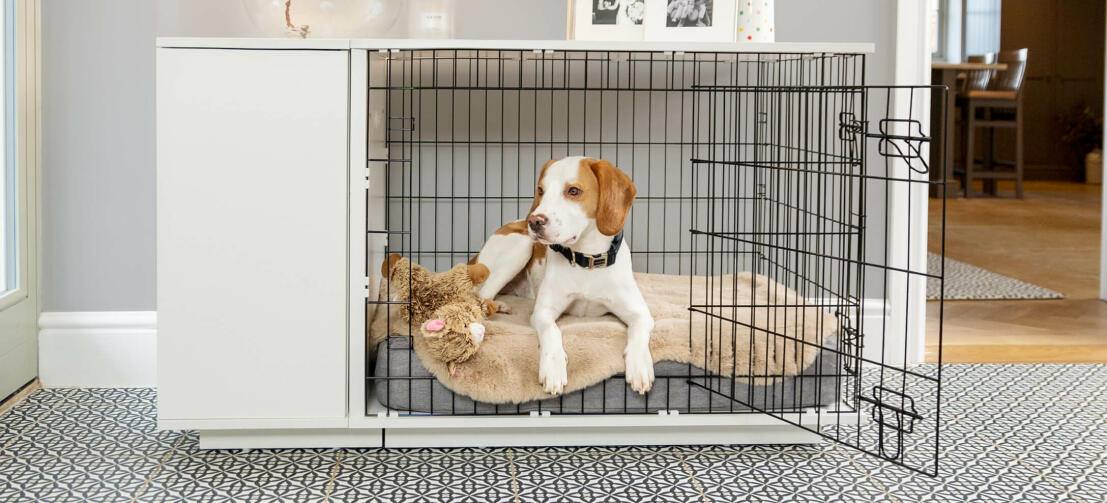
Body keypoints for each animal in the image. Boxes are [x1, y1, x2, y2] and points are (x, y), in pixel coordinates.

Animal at [471, 157, 650, 396]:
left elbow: (638, 332)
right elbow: (552, 331)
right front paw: (553, 367)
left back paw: (498, 305)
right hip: (521, 245)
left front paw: (640, 366)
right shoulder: (542, 312)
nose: (534, 221)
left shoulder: (641, 313)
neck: (586, 259)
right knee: (479, 297)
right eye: (541, 190)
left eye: (574, 191)